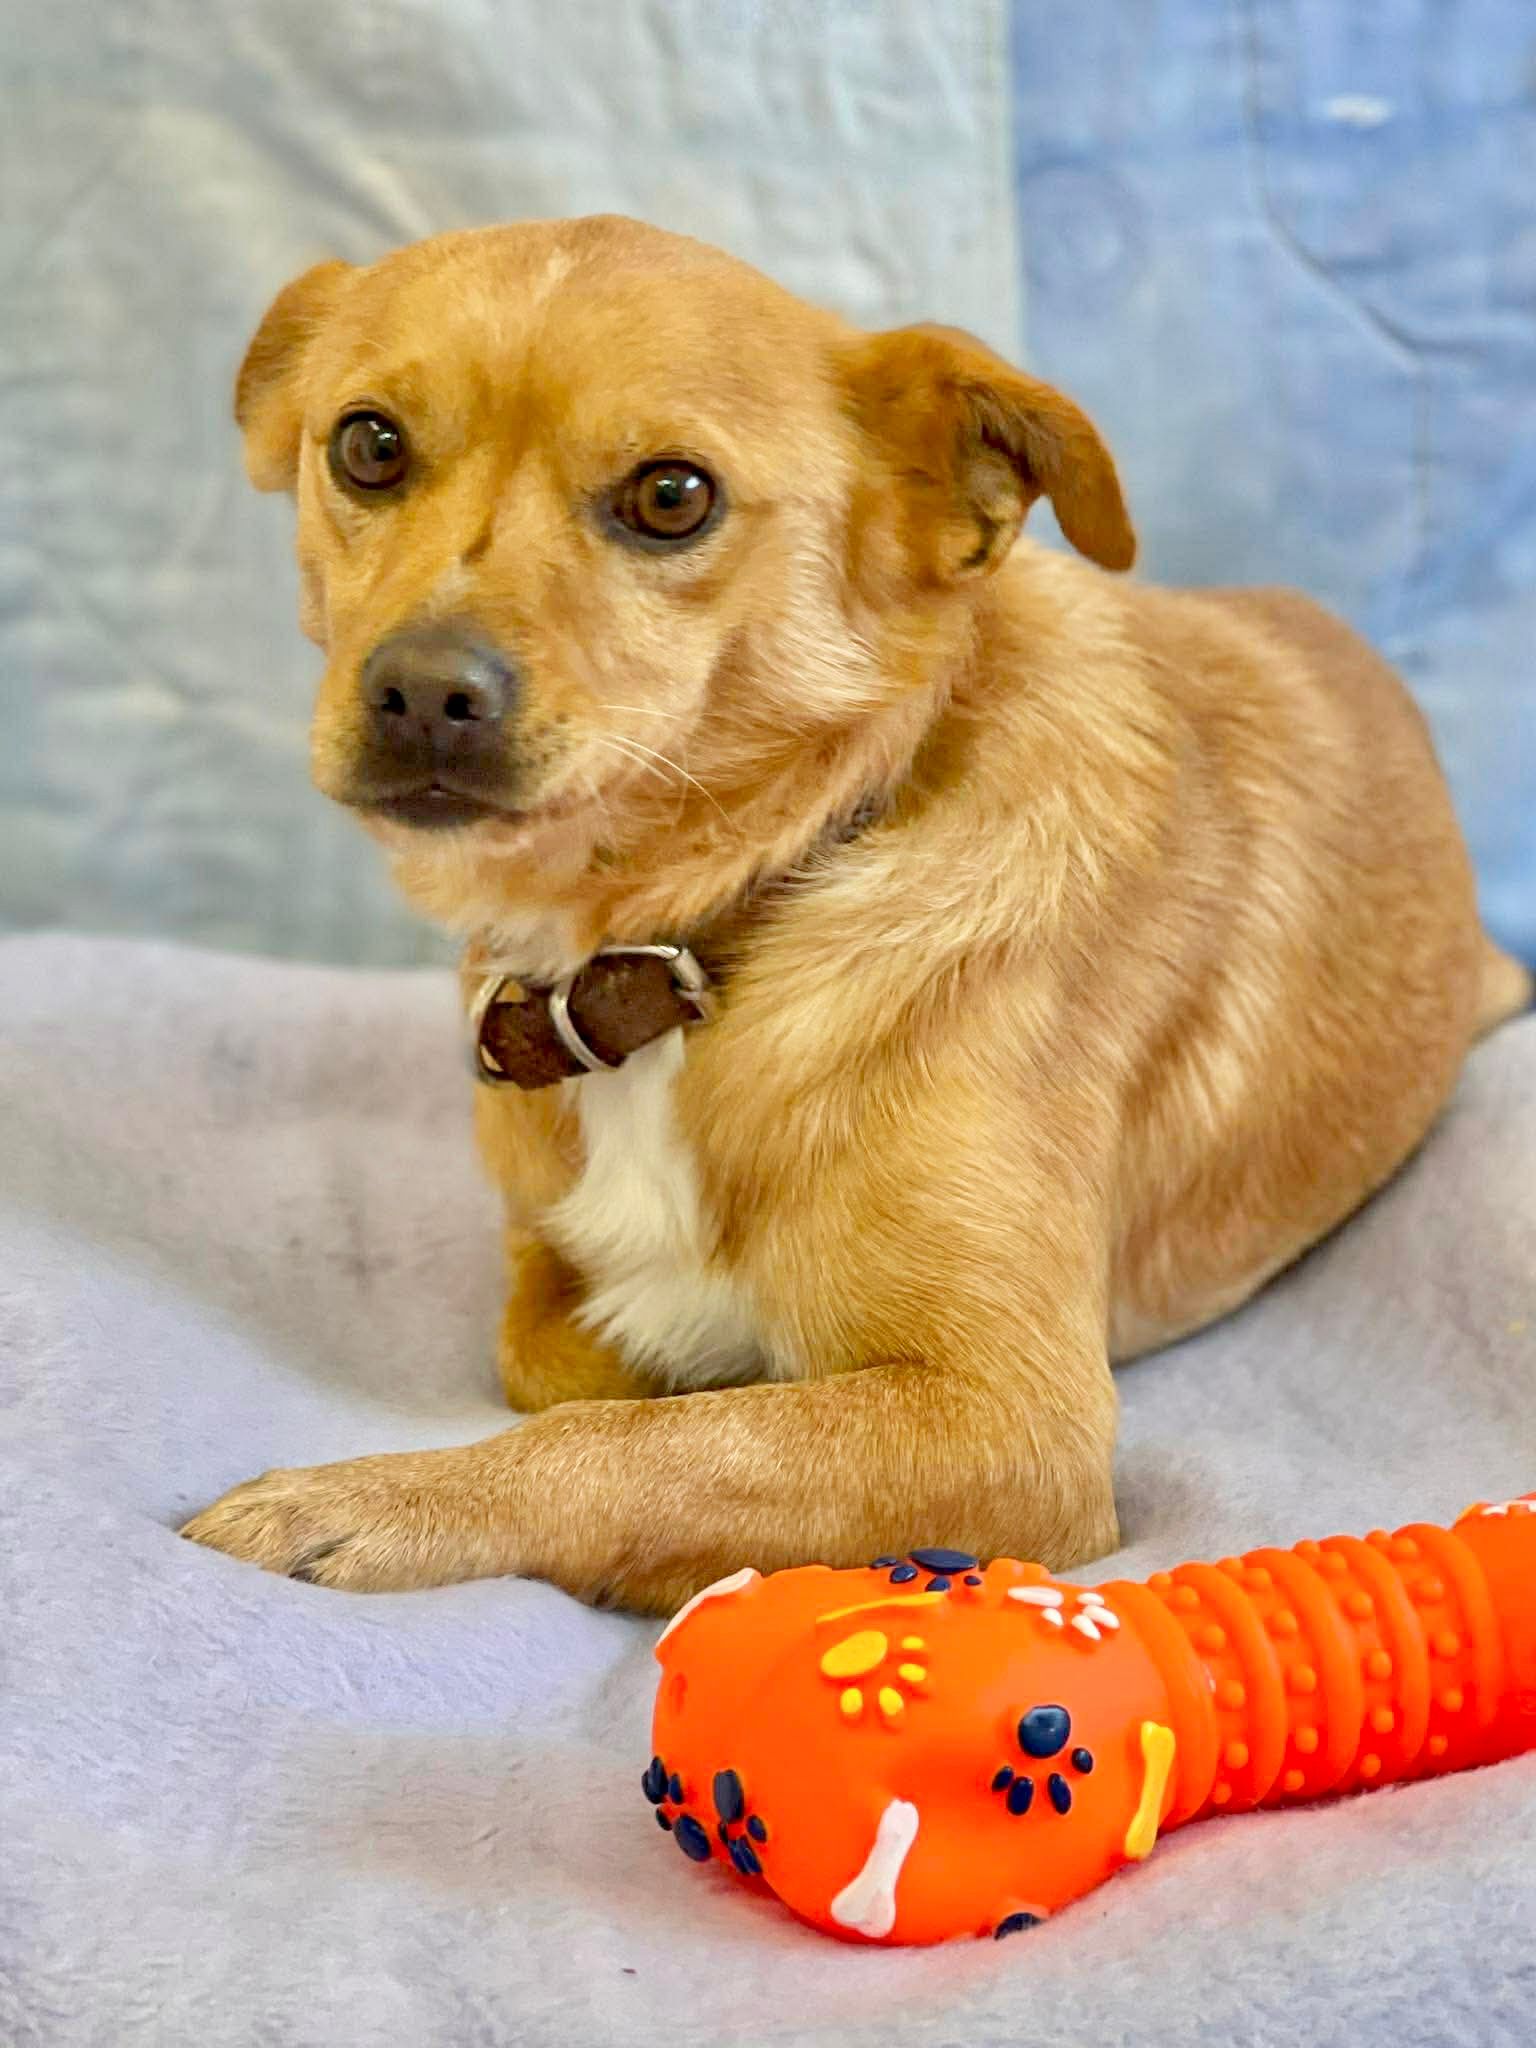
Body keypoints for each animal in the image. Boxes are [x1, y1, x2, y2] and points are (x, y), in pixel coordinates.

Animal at [183, 216, 1531, 1613]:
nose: (421, 693)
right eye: (368, 445)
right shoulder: (548, 1270)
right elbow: (570, 1369)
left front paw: (372, 1500)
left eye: (673, 496)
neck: (693, 933)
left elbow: (648, 1441)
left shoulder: (1016, 1420)